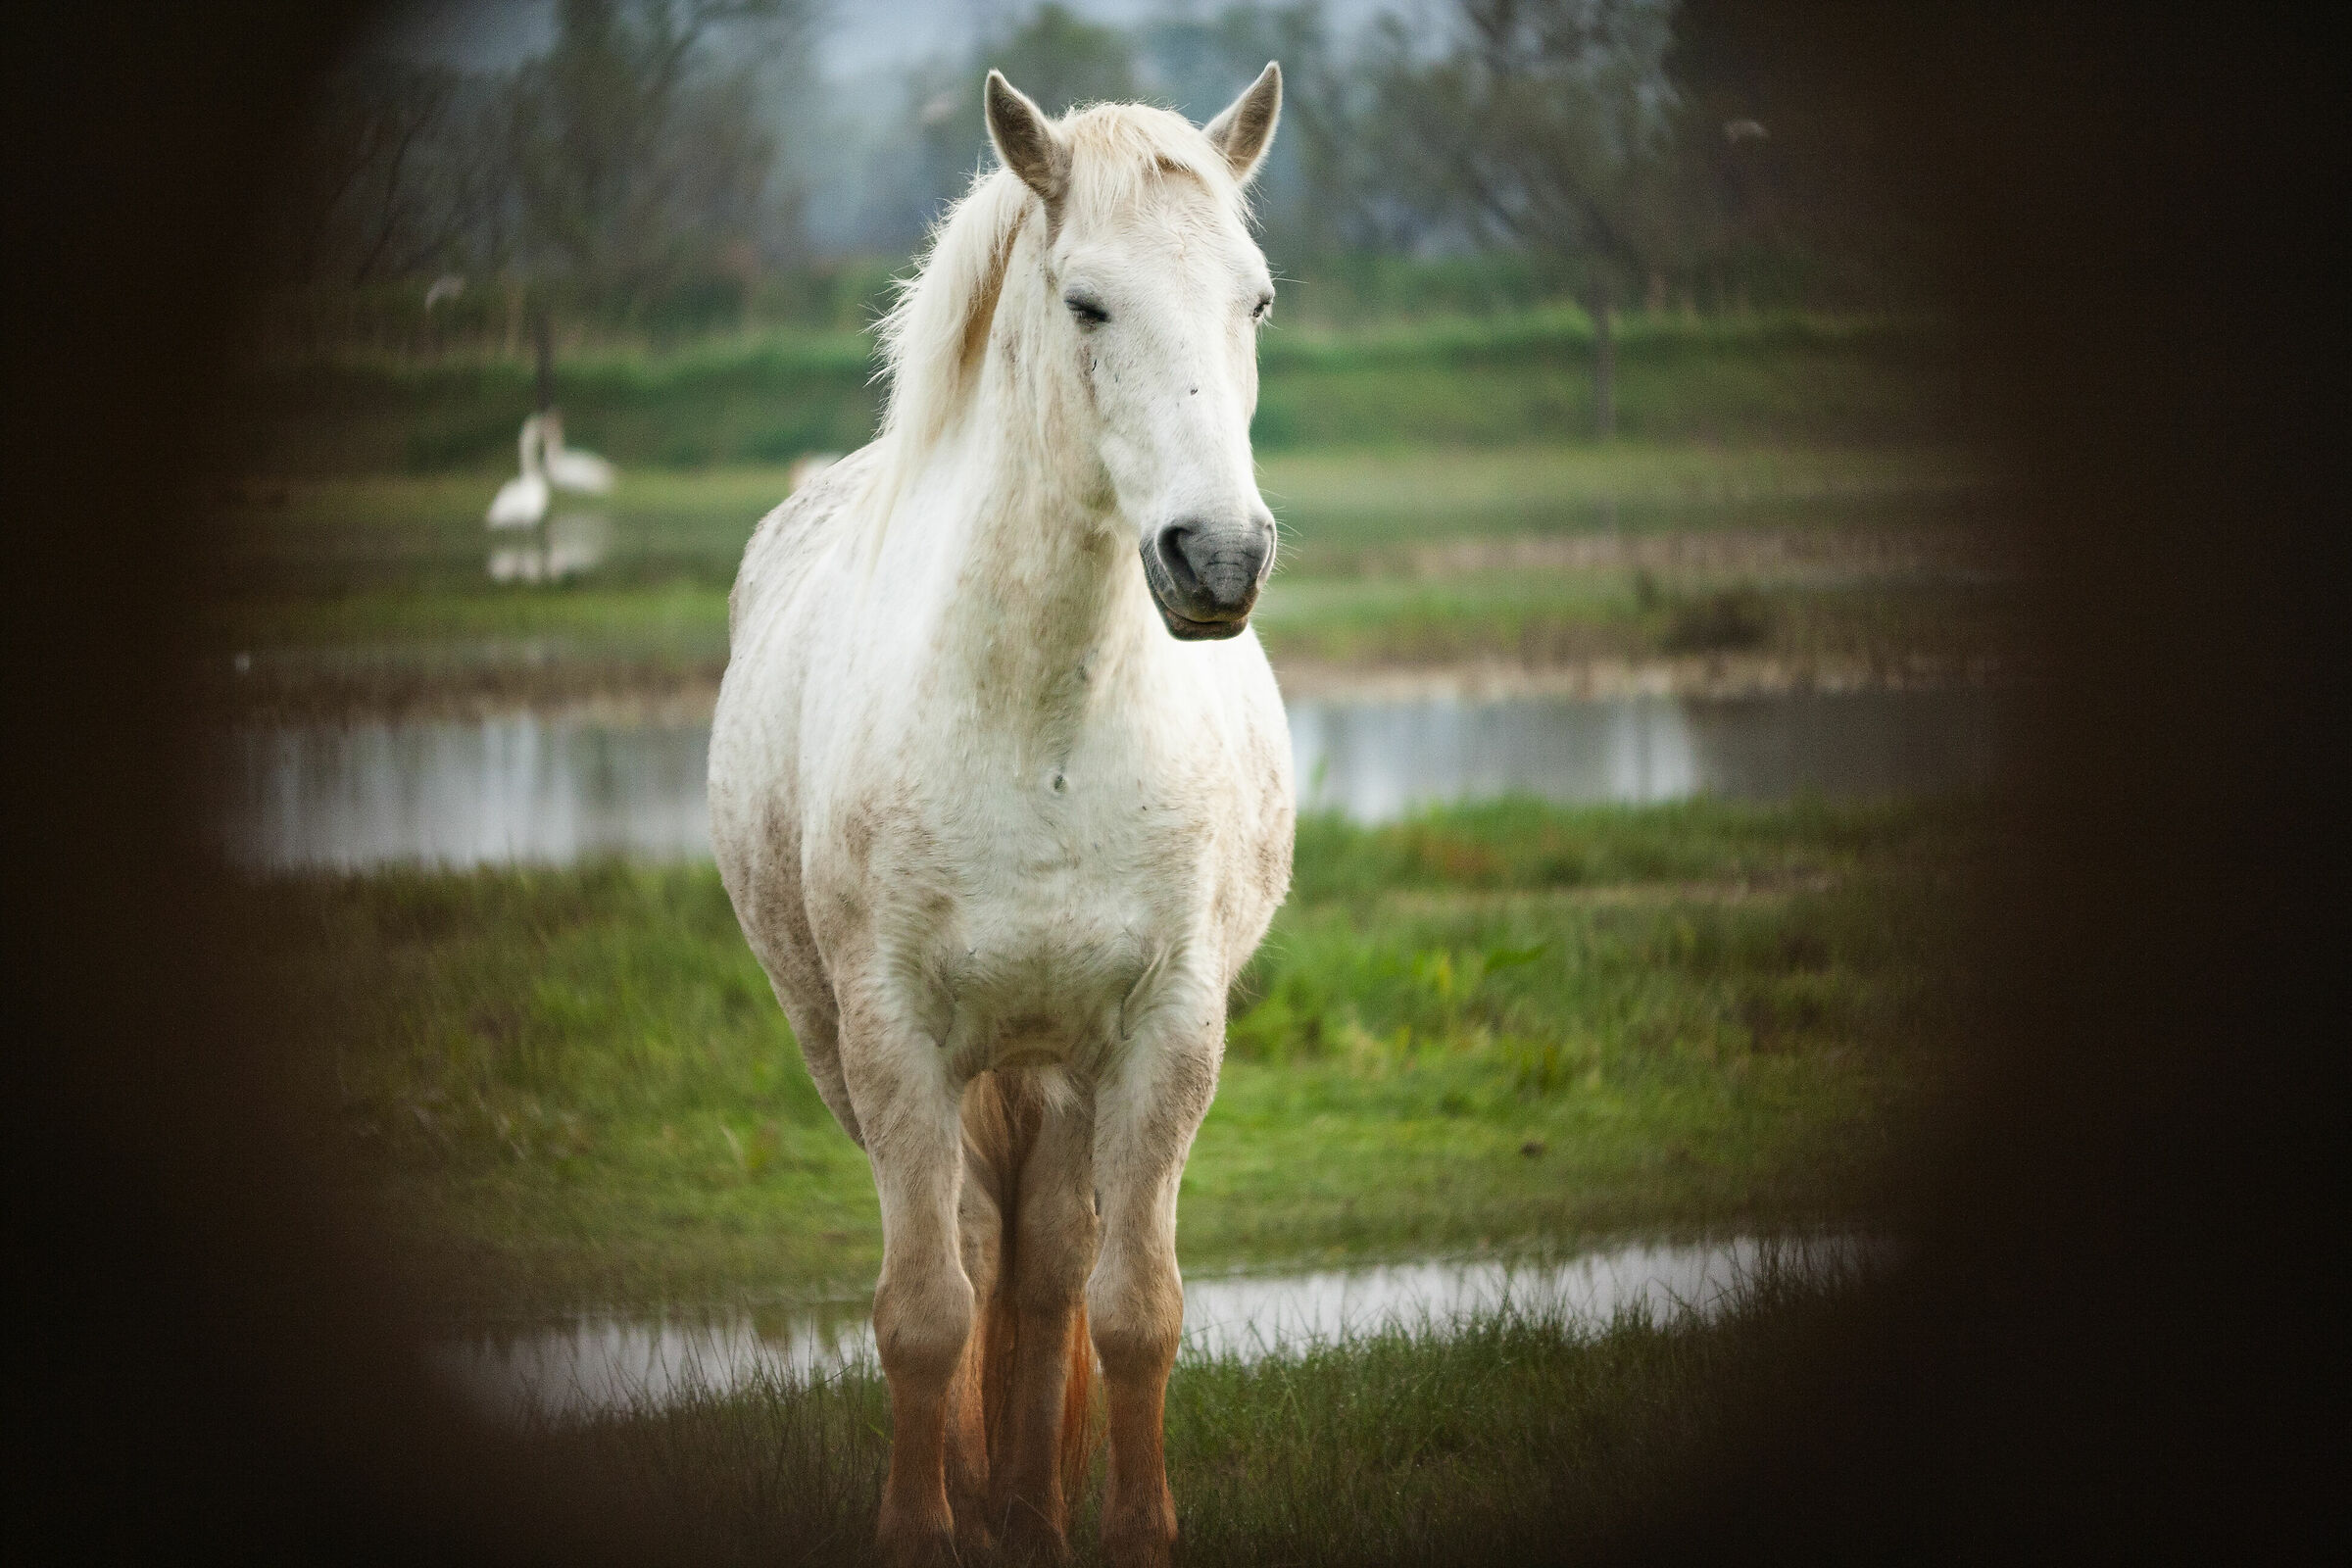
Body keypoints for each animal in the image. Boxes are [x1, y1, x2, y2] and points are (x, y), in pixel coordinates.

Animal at [708, 63, 1292, 1568]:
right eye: (1086, 304)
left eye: (1255, 301)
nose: (1218, 558)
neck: (1042, 731)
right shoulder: (893, 1040)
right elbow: (924, 1315)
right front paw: (922, 1528)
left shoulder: (1165, 1037)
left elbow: (1132, 1309)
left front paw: (1133, 1530)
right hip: (880, 1062)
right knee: (975, 1260)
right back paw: (984, 1500)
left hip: (1061, 1075)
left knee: (1045, 1272)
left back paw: (1032, 1506)